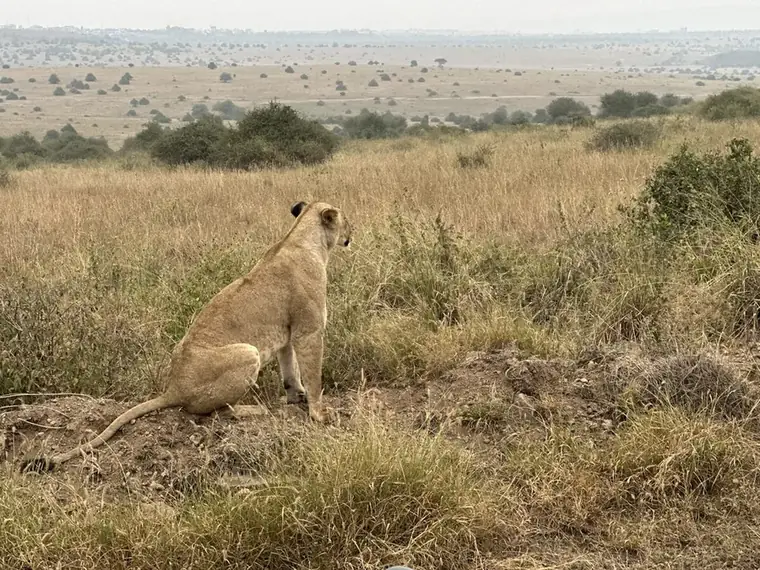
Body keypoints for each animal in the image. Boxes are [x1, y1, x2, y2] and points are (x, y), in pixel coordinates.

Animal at [20, 200, 352, 473]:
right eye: (346, 220)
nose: (353, 232)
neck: (304, 239)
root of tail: (172, 388)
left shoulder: (286, 333)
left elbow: (290, 371)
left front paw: (296, 398)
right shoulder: (309, 331)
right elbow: (313, 375)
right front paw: (319, 413)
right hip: (247, 352)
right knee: (213, 411)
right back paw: (256, 409)